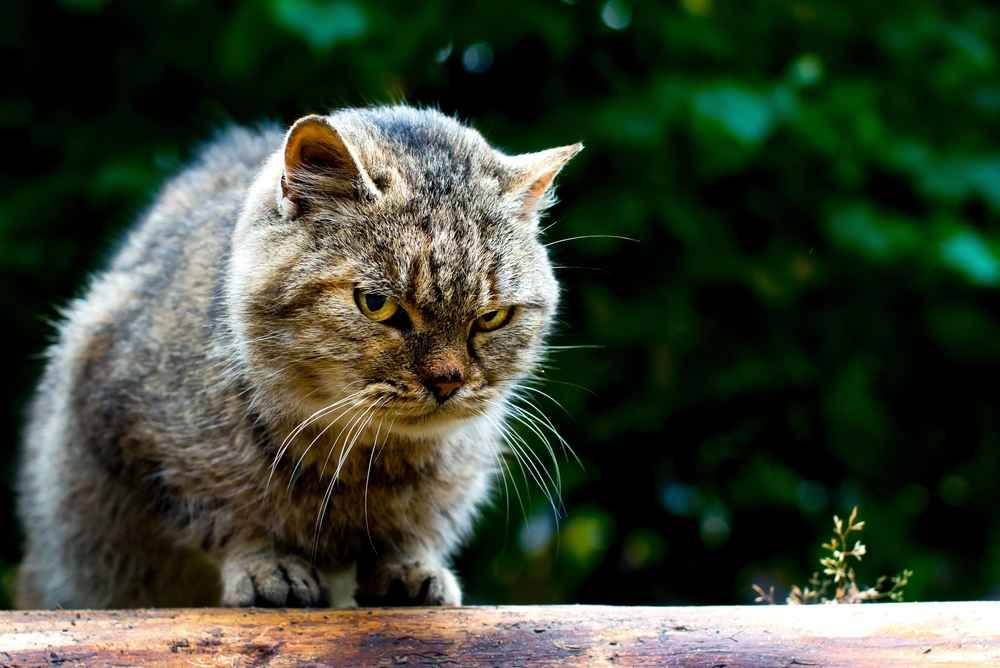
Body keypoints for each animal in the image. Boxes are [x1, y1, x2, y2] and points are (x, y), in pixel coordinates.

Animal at [13, 105, 580, 612]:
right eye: (377, 304)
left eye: (491, 317)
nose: (448, 381)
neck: (362, 460)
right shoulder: (135, 437)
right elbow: (226, 514)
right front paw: (268, 565)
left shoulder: (457, 478)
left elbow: (417, 528)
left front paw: (408, 566)